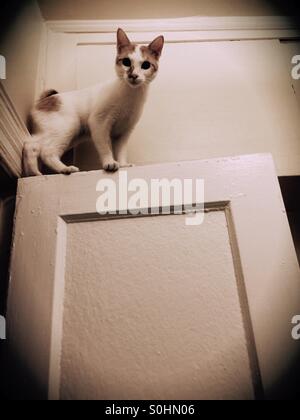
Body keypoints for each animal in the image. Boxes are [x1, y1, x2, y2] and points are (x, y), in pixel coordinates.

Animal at [23, 27, 164, 176]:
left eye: (146, 65)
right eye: (126, 62)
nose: (133, 75)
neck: (131, 95)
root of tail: (45, 100)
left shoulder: (124, 132)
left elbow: (120, 151)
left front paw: (123, 164)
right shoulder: (99, 123)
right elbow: (105, 148)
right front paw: (110, 163)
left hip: (55, 133)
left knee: (31, 145)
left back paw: (33, 173)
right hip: (68, 127)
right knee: (47, 152)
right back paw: (64, 169)